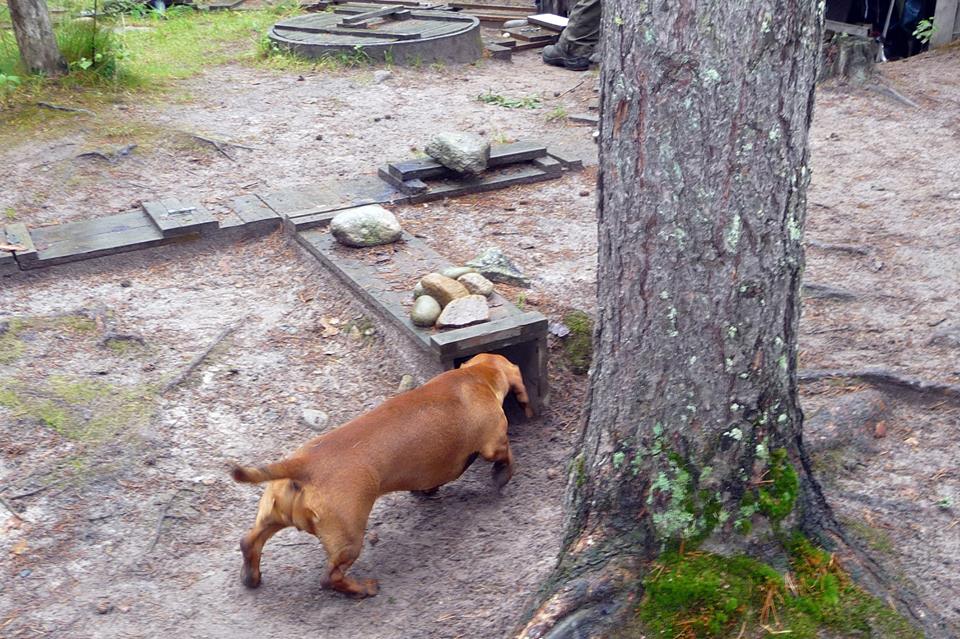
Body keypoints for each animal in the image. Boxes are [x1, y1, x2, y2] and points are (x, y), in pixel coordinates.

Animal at [231, 352, 532, 596]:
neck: (475, 376)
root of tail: (303, 464)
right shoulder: (494, 444)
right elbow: (507, 458)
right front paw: (502, 476)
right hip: (350, 540)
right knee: (330, 578)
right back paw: (364, 589)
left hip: (273, 517)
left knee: (249, 542)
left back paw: (251, 577)